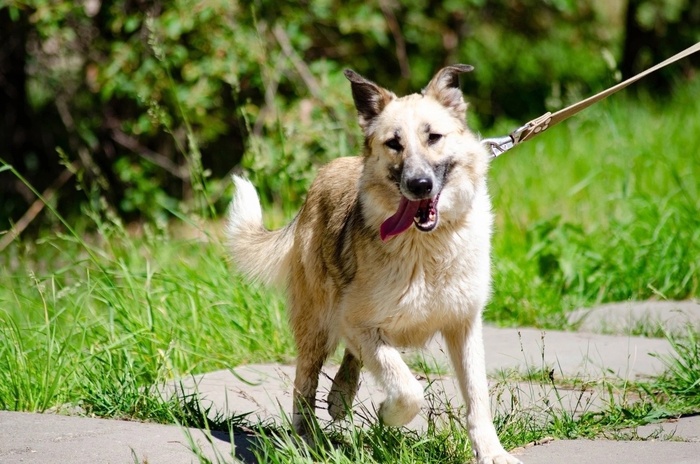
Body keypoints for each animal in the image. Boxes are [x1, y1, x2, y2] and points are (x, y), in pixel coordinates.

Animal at [226, 65, 522, 464]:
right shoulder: (358, 323)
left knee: (350, 361)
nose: (419, 184)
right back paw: (308, 439)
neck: (425, 246)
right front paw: (389, 414)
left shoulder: (463, 326)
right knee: (305, 383)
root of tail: (324, 175)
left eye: (434, 137)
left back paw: (339, 397)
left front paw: (492, 453)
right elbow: (408, 388)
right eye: (394, 143)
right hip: (318, 323)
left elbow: (477, 397)